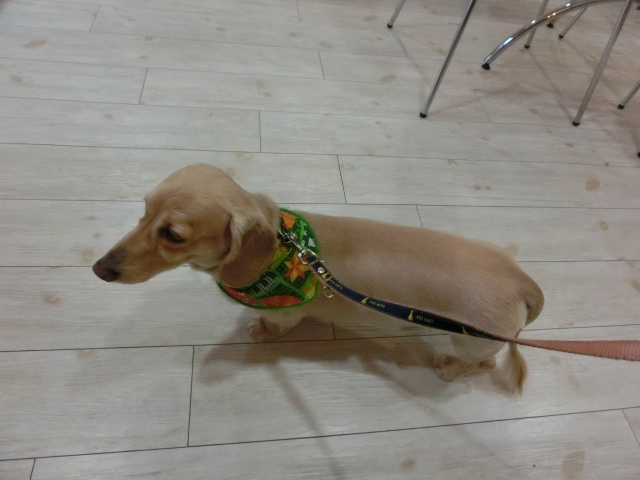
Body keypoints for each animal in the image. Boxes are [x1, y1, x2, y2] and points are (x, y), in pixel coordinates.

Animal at [93, 163, 544, 393]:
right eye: (144, 211)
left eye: (173, 235)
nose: (99, 270)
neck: (285, 252)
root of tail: (524, 283)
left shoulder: (289, 312)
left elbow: (275, 324)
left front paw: (259, 330)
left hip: (468, 340)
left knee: (483, 362)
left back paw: (448, 368)